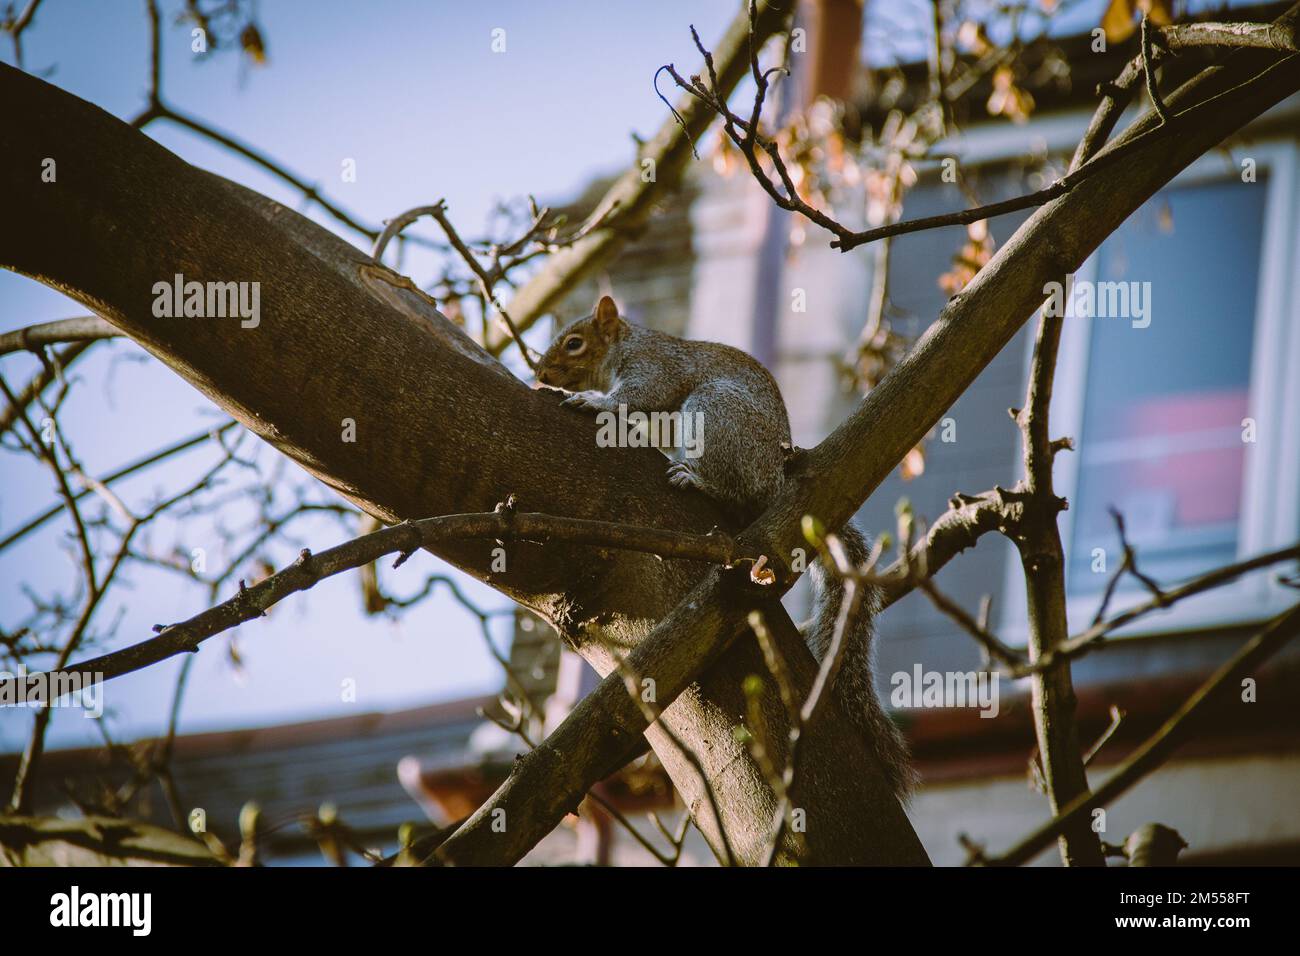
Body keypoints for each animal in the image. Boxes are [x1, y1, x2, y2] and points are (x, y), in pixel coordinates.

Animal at [535, 293, 915, 801]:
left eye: (574, 343)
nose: (540, 372)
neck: (626, 343)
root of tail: (775, 484)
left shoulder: (656, 366)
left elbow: (638, 395)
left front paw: (589, 401)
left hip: (715, 412)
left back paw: (697, 479)